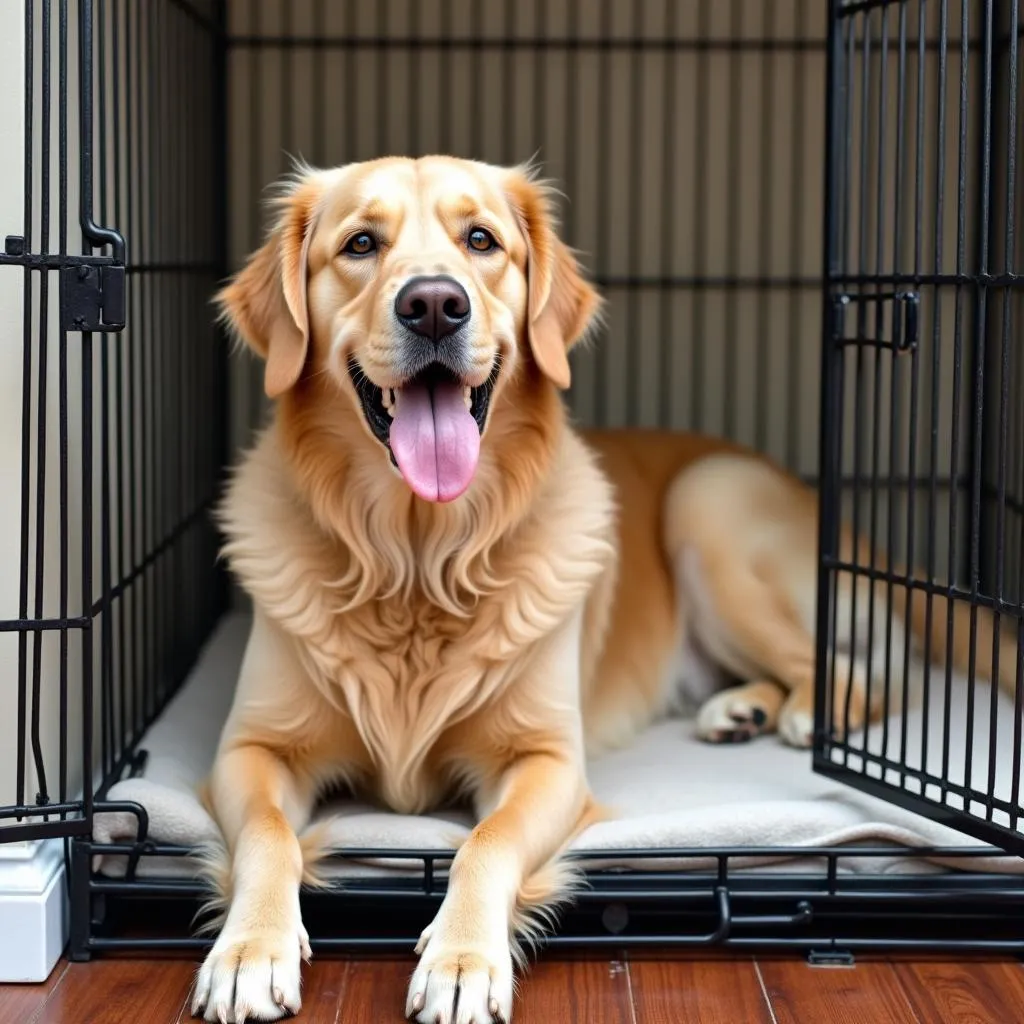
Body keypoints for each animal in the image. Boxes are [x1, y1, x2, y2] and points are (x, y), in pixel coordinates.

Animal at [192, 155, 1015, 1019]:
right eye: (359, 244)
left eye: (481, 240)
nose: (434, 305)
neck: (417, 556)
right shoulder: (252, 748)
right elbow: (267, 835)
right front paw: (249, 948)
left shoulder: (547, 761)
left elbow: (484, 843)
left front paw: (462, 959)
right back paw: (741, 710)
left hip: (707, 506)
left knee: (862, 673)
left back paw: (793, 714)